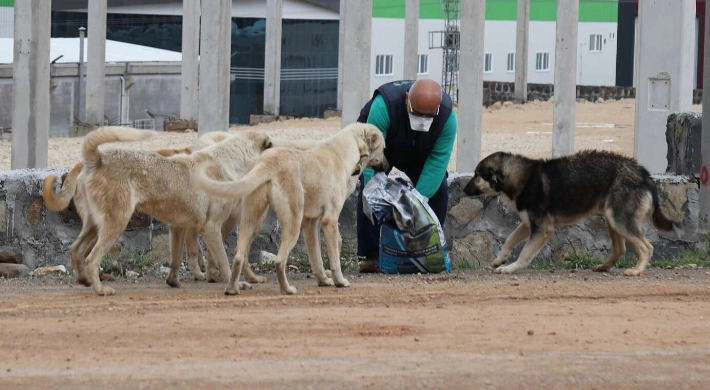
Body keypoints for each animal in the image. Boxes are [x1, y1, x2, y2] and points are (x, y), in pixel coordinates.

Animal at [192, 122, 390, 296]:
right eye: (384, 148)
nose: (388, 167)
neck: (340, 152)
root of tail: (269, 162)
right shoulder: (329, 221)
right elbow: (334, 259)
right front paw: (339, 281)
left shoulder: (310, 223)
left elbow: (316, 257)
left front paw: (323, 280)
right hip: (292, 222)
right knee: (280, 260)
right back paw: (287, 289)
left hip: (252, 219)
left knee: (239, 256)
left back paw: (232, 289)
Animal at [464, 150, 688, 278]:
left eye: (476, 175)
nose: (464, 191)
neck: (522, 178)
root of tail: (644, 173)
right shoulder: (528, 225)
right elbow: (509, 241)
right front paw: (498, 260)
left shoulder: (542, 229)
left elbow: (524, 254)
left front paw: (510, 268)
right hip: (612, 219)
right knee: (620, 250)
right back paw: (603, 267)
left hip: (618, 220)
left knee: (646, 247)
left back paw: (637, 270)